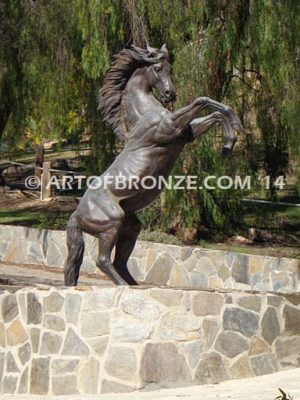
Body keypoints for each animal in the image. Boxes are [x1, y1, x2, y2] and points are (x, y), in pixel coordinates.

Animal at [63, 43, 244, 286]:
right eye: (157, 68)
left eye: (170, 68)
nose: (170, 94)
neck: (143, 114)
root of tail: (77, 214)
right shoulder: (171, 127)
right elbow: (201, 100)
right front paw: (231, 137)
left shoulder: (186, 134)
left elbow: (213, 111)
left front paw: (230, 140)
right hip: (111, 224)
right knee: (103, 260)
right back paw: (124, 286)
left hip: (130, 227)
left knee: (119, 262)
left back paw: (134, 286)